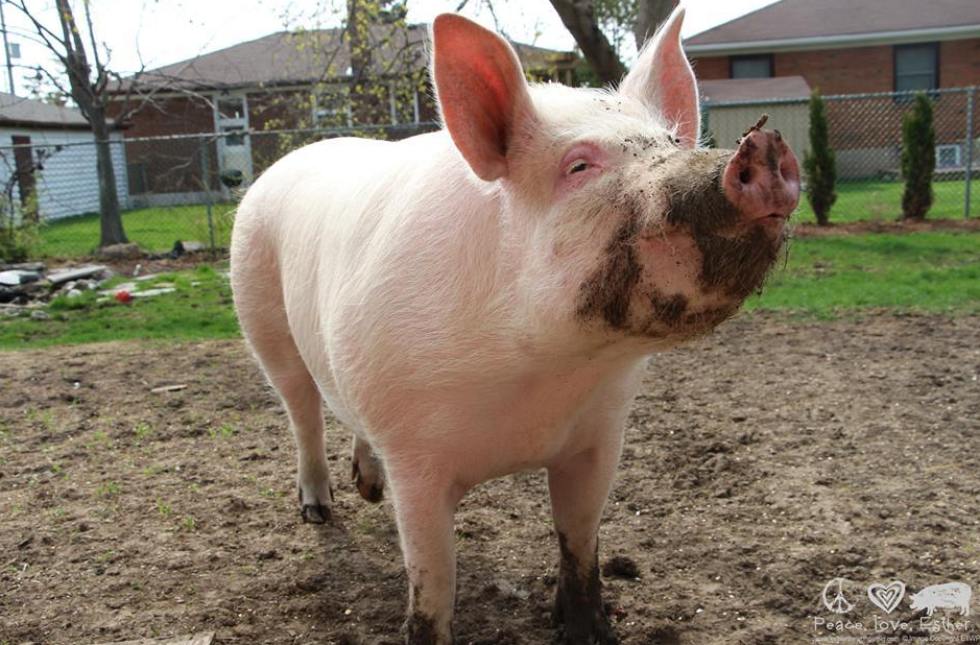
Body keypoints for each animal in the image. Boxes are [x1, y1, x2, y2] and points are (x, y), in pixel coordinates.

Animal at [229, 7, 800, 644]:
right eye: (578, 165)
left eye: (673, 143)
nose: (762, 144)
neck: (538, 383)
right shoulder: (415, 458)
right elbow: (434, 581)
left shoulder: (600, 436)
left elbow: (580, 541)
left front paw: (591, 632)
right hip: (261, 317)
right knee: (301, 411)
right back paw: (317, 511)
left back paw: (367, 490)